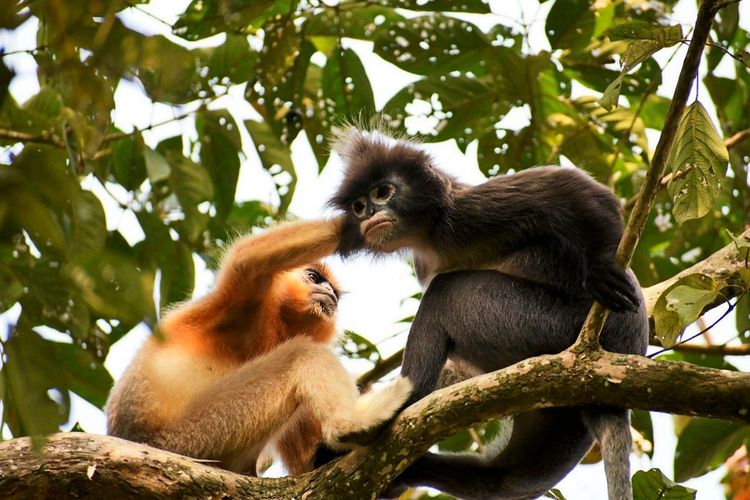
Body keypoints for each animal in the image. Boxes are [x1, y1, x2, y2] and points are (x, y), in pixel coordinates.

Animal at [106, 217, 412, 476]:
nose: (329, 294)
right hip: (192, 437)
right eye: (314, 278)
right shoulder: (241, 301)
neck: (274, 323)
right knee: (301, 354)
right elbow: (247, 260)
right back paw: (350, 423)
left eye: (333, 290)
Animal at [328, 129, 649, 499]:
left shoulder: (466, 214)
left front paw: (602, 267)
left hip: (545, 324)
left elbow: (570, 186)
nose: (370, 213)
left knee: (445, 293)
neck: (428, 236)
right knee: (499, 479)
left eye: (383, 192)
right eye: (358, 206)